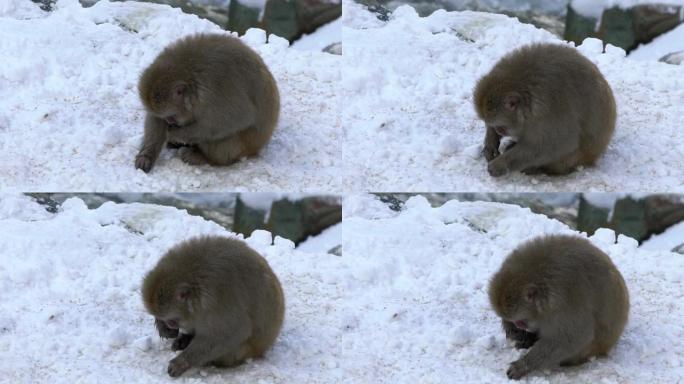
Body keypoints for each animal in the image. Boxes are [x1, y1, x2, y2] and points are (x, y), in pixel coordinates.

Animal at [135, 33, 280, 172]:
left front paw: (177, 134)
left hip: (247, 145)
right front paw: (146, 156)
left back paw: (202, 157)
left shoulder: (218, 90)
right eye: (168, 117)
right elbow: (155, 118)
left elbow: (237, 118)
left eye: (172, 116)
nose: (170, 122)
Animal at [142, 236, 286, 376]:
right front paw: (163, 328)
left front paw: (181, 362)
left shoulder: (218, 302)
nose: (170, 325)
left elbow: (233, 332)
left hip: (245, 351)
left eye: (172, 320)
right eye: (168, 320)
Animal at [476, 43, 616, 177]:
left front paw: (499, 165)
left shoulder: (550, 114)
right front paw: (491, 143)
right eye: (497, 127)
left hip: (578, 158)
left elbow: (558, 144)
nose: (498, 131)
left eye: (502, 128)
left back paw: (537, 168)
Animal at [486, 236, 632, 380]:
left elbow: (574, 337)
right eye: (517, 322)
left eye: (521, 322)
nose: (520, 327)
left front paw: (522, 365)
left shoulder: (565, 304)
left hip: (592, 348)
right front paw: (512, 330)